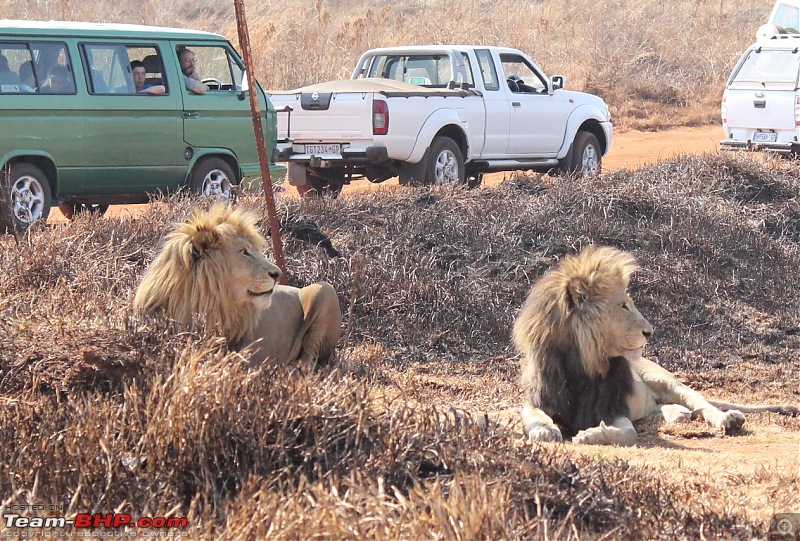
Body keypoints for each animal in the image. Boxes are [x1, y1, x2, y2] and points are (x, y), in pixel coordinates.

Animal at [512, 247, 792, 446]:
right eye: (623, 306)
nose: (650, 331)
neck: (583, 364)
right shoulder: (537, 400)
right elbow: (534, 418)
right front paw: (545, 431)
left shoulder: (613, 408)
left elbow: (628, 434)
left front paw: (590, 435)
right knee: (667, 409)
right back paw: (677, 413)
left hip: (669, 381)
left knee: (702, 404)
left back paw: (729, 419)